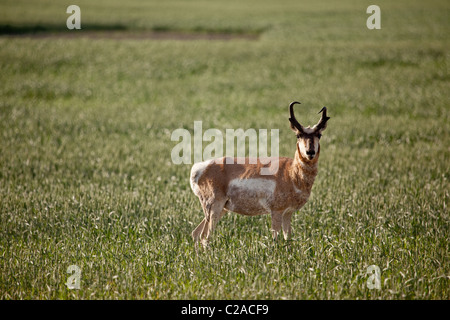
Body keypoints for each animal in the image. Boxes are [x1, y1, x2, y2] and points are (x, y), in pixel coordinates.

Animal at [190, 101, 330, 246]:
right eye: (298, 135)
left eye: (319, 135)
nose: (310, 152)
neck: (291, 172)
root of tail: (200, 167)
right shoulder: (276, 212)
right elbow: (276, 239)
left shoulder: (288, 213)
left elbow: (288, 239)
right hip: (214, 208)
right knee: (204, 237)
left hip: (221, 209)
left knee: (195, 233)